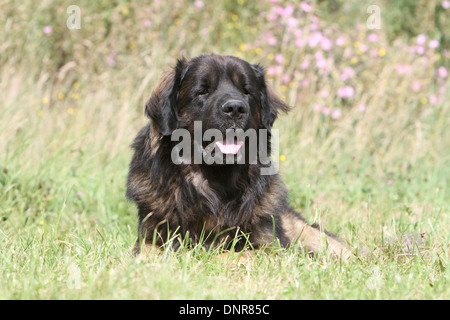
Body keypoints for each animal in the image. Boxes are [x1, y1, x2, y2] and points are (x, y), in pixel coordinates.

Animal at [125, 53, 352, 260]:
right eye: (202, 91)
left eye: (246, 91)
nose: (235, 108)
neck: (216, 184)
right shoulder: (151, 237)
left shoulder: (269, 247)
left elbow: (228, 254)